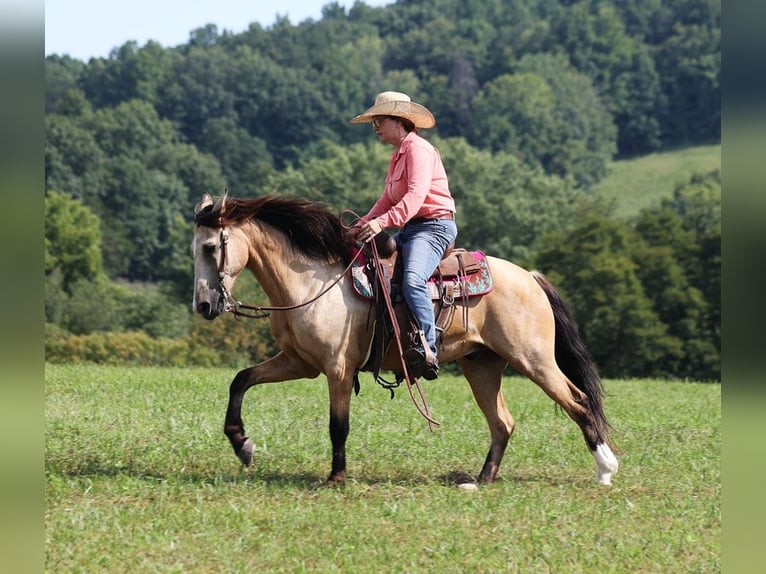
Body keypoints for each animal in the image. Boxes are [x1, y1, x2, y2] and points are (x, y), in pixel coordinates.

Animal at [191, 192, 619, 486]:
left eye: (210, 247)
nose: (204, 304)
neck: (313, 281)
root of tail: (530, 276)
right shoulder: (299, 362)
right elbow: (241, 380)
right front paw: (242, 445)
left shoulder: (337, 368)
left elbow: (338, 425)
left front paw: (336, 478)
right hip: (482, 366)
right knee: (503, 423)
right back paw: (483, 479)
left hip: (533, 359)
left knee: (578, 401)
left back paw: (605, 469)